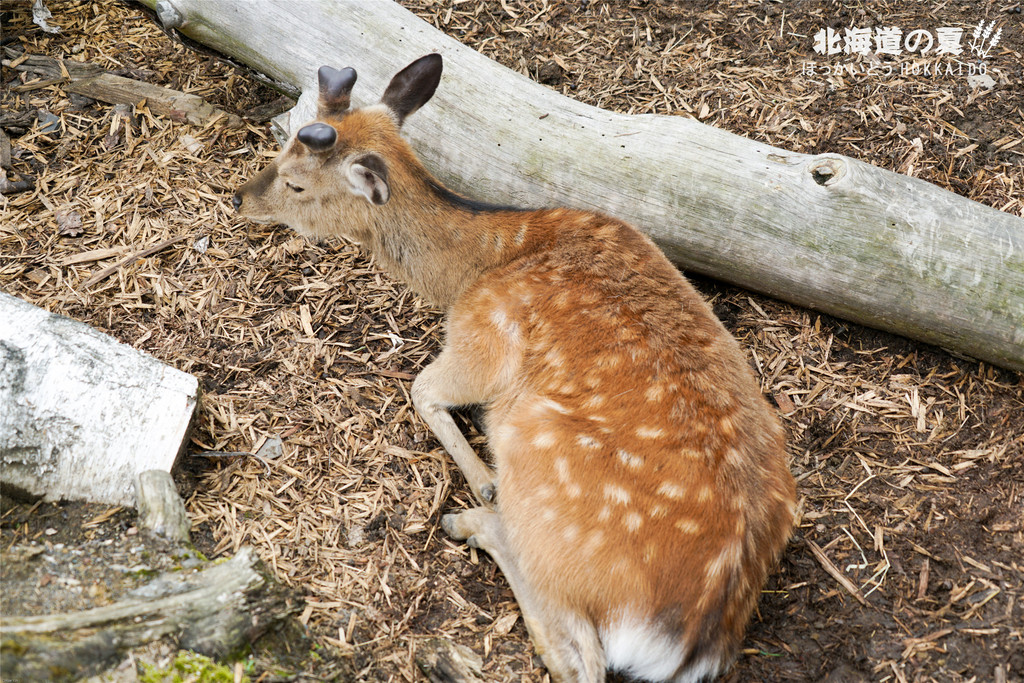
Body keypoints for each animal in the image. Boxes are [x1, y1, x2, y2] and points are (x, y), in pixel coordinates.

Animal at [235, 53, 794, 683]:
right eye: (281, 150)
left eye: (296, 182)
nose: (239, 198)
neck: (472, 271)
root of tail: (693, 637)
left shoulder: (481, 339)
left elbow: (422, 388)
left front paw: (480, 477)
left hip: (536, 450)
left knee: (582, 656)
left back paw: (477, 518)